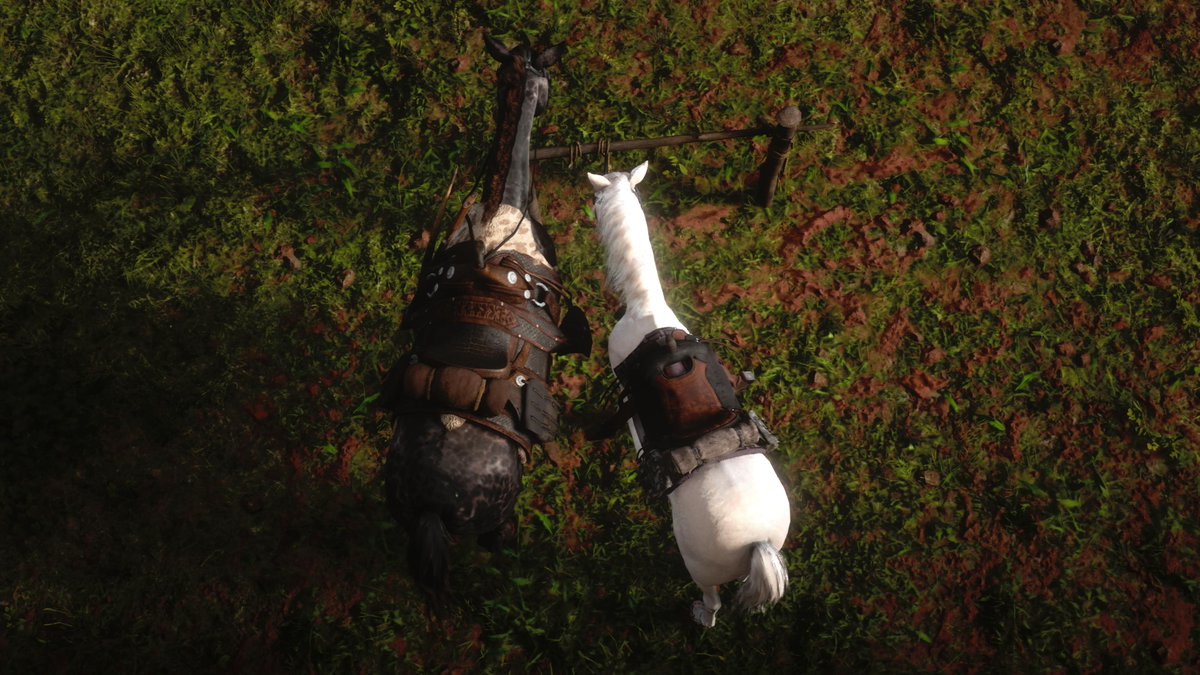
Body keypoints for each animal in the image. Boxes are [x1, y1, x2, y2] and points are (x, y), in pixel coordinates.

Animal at [586, 161, 790, 627]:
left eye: (596, 201)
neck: (644, 305)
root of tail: (758, 543)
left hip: (699, 567)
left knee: (712, 603)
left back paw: (700, 615)